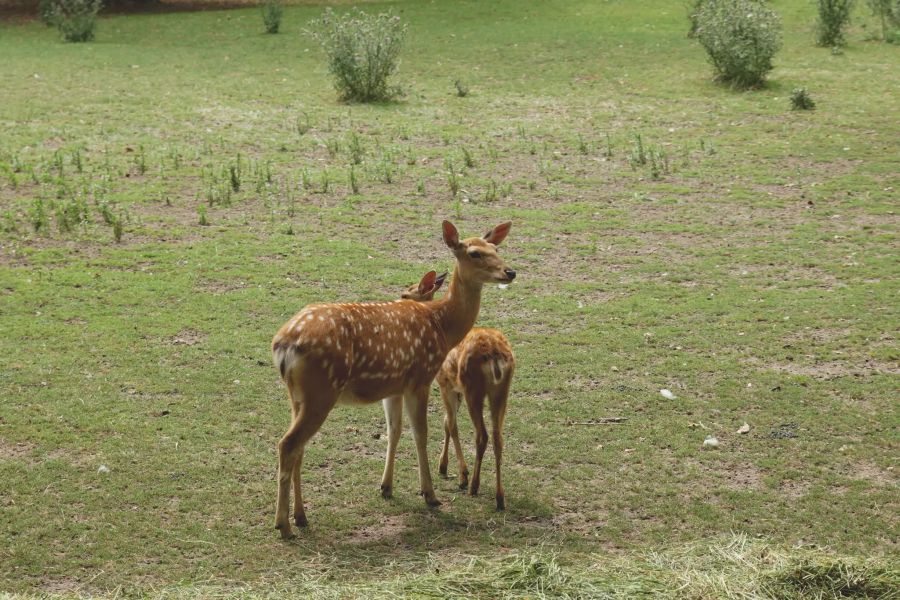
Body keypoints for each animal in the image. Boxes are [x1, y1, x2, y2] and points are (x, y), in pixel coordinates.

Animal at [400, 274, 512, 510]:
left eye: (406, 294)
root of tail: (495, 355)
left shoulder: (445, 382)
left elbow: (451, 425)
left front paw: (461, 475)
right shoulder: (455, 388)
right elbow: (446, 422)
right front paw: (443, 466)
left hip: (474, 389)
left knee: (482, 435)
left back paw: (474, 486)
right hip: (501, 391)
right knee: (498, 437)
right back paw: (499, 498)